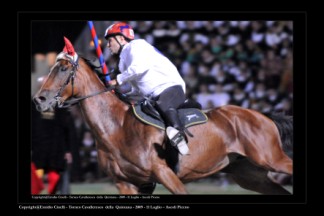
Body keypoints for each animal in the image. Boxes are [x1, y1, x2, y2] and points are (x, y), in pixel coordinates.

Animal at [34, 38, 292, 195]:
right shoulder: (128, 183)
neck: (116, 127)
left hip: (270, 159)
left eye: (63, 69)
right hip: (249, 174)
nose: (39, 100)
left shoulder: (164, 173)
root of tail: (263, 116)